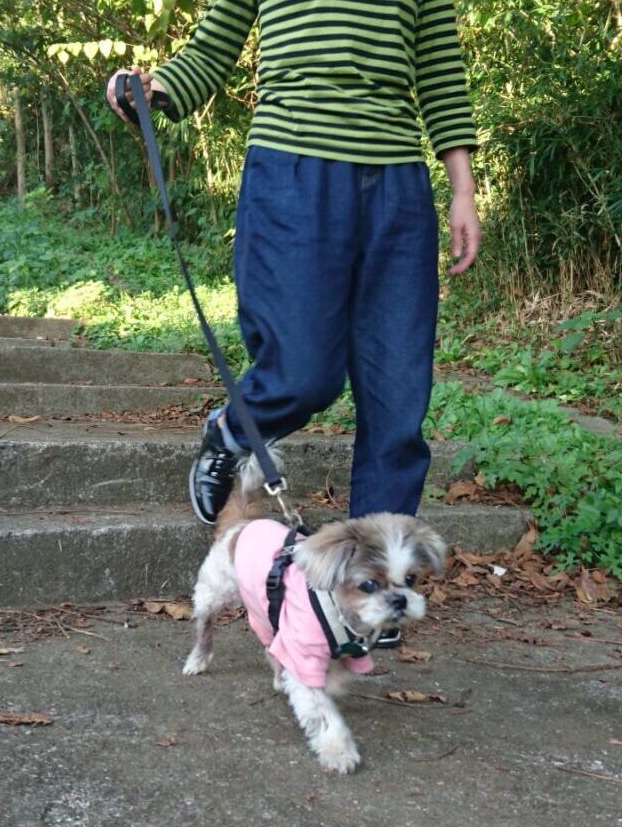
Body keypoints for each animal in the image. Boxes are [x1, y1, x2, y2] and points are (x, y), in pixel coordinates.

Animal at [183, 453, 446, 773]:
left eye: (410, 579)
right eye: (368, 584)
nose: (400, 600)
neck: (341, 615)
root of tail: (243, 523)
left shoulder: (348, 654)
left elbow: (335, 680)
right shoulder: (304, 656)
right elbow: (322, 711)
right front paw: (339, 751)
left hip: (264, 609)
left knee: (271, 644)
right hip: (214, 591)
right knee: (205, 624)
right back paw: (198, 659)